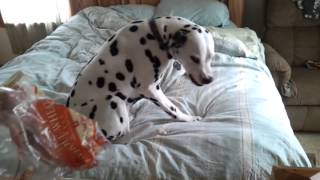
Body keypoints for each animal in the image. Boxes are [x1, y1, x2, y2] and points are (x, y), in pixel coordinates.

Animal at [66, 16, 214, 141]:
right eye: (194, 58)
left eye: (211, 57)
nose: (209, 79)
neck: (154, 37)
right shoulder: (151, 89)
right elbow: (173, 109)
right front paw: (189, 118)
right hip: (113, 100)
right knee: (126, 131)